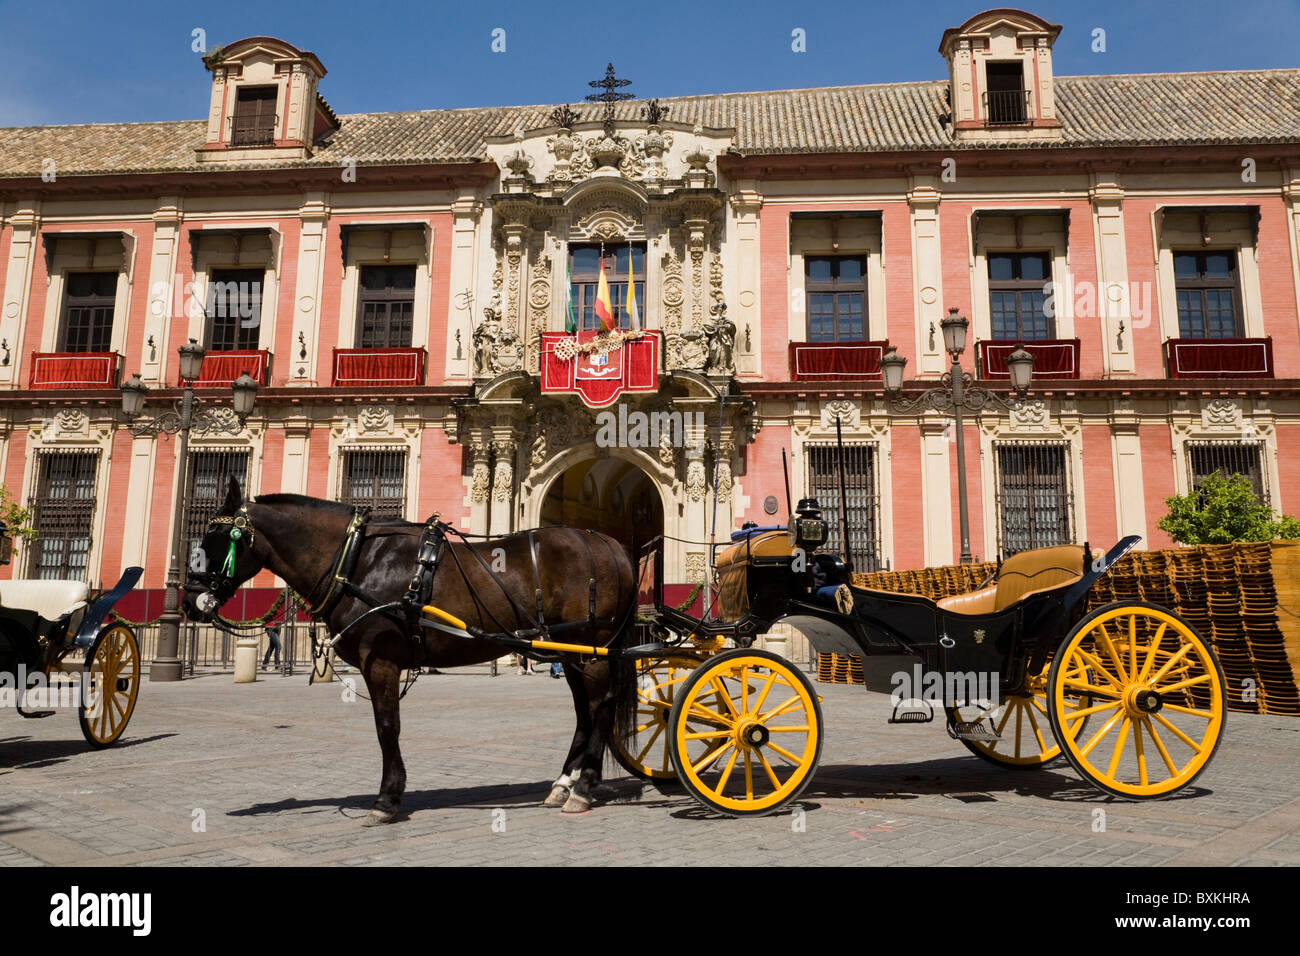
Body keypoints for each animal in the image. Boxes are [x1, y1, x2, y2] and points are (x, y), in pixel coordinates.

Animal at [180, 481, 637, 827]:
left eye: (214, 540)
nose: (188, 600)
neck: (357, 561)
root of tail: (609, 543)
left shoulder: (379, 661)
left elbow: (387, 729)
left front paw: (386, 799)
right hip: (573, 653)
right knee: (584, 712)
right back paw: (563, 784)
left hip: (591, 652)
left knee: (599, 707)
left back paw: (583, 788)